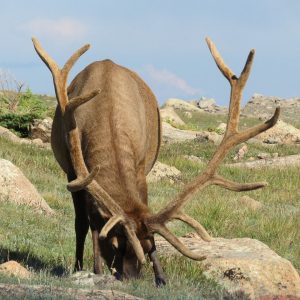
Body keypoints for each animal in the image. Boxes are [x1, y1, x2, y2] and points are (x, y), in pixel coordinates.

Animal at [32, 36, 278, 284]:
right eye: (114, 243)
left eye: (149, 244)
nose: (131, 278)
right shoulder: (74, 173)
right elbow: (87, 224)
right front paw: (94, 270)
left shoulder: (141, 167)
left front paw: (161, 277)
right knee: (81, 223)